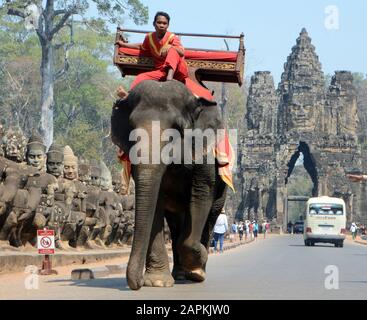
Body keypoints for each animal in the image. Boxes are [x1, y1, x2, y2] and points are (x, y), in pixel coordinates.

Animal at [110, 79, 229, 290]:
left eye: (177, 128)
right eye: (131, 127)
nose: (136, 283)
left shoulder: (204, 153)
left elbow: (201, 192)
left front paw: (198, 265)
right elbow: (155, 198)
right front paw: (157, 282)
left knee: (210, 217)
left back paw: (198, 272)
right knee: (175, 224)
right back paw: (181, 274)